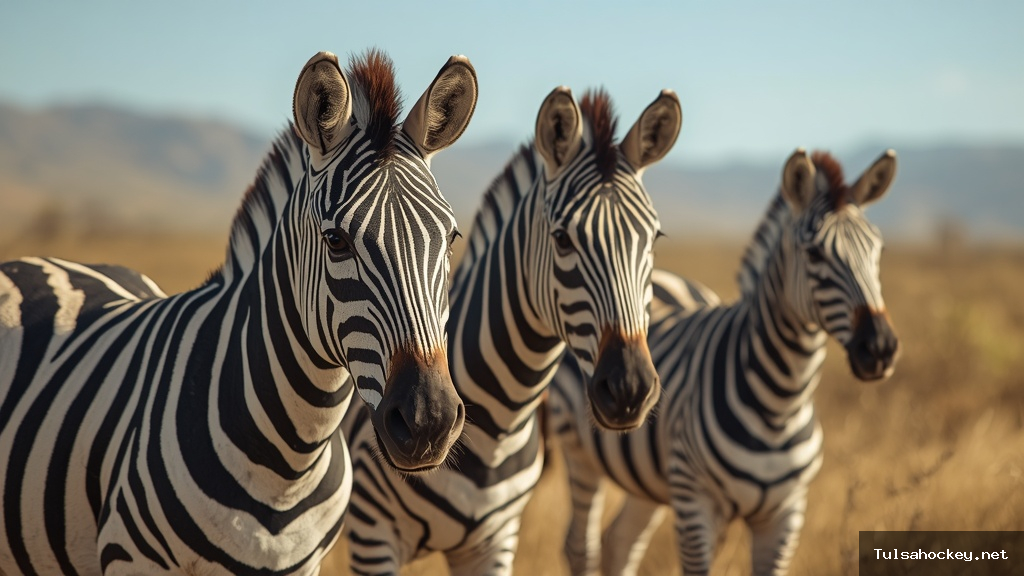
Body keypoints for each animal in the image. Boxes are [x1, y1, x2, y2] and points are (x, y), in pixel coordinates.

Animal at [340, 86, 682, 575]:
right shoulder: (373, 533)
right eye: (563, 240)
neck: (500, 425)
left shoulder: (496, 540)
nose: (629, 388)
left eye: (654, 240)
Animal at [548, 148, 901, 576]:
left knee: (620, 542)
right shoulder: (696, 503)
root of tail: (663, 275)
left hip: (648, 478)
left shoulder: (785, 515)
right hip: (580, 451)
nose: (880, 348)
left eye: (878, 251)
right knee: (579, 544)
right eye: (815, 253)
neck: (780, 403)